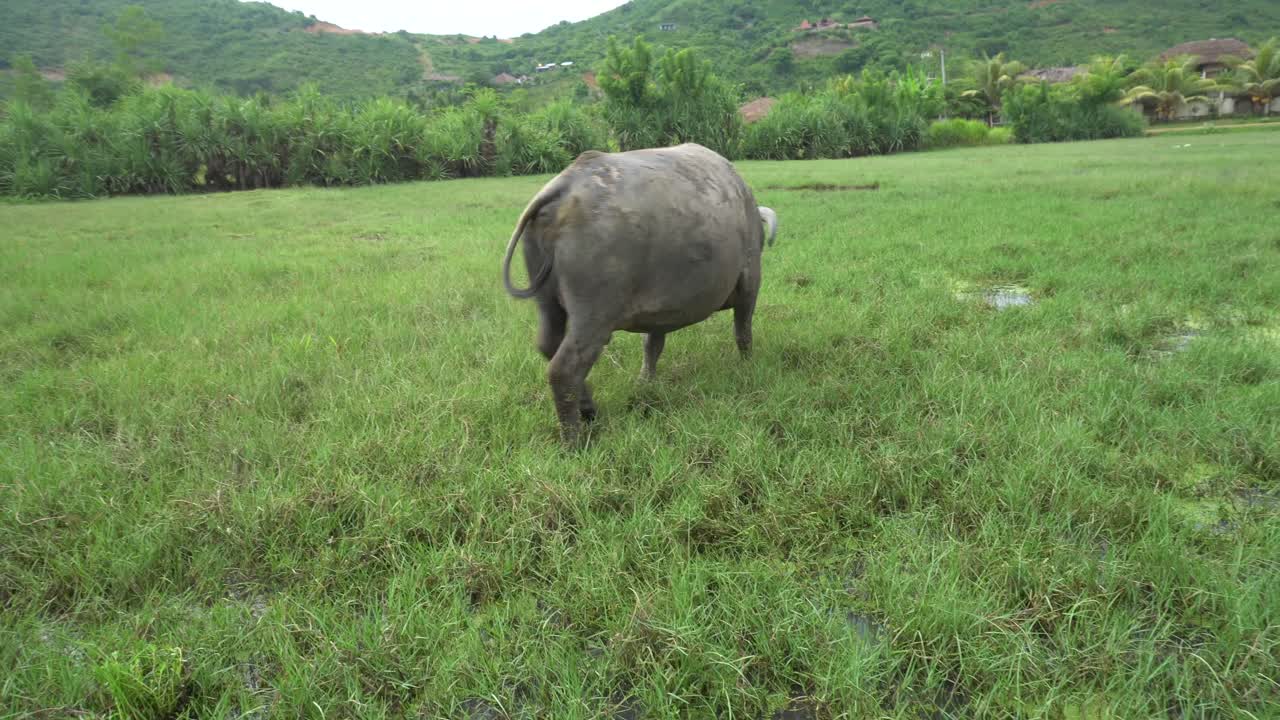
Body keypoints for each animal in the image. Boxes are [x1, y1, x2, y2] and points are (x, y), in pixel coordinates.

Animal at [501, 143, 778, 447]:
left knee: (547, 345)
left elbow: (652, 346)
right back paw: (575, 440)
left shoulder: (661, 312)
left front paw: (646, 382)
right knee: (564, 369)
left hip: (548, 303)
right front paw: (748, 366)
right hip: (594, 315)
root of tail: (564, 186)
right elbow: (743, 333)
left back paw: (588, 408)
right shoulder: (750, 281)